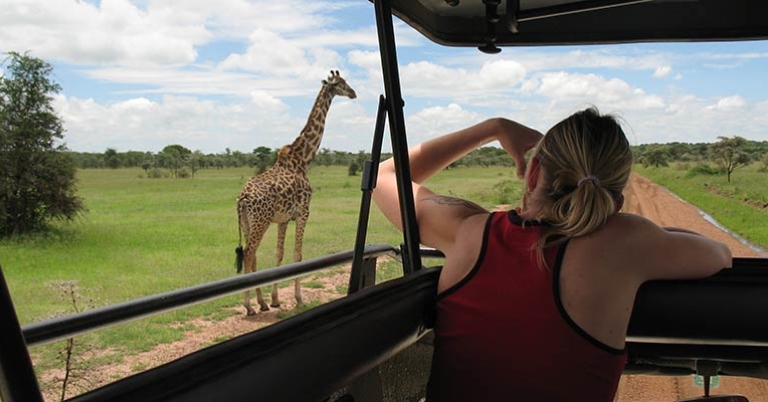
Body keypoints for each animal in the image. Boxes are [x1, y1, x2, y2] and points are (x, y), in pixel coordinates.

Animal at [235, 70, 357, 316]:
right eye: (339, 84)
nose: (353, 93)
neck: (303, 159)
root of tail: (242, 198)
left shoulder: (283, 219)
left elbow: (279, 254)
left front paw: (275, 300)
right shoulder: (303, 213)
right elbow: (298, 255)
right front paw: (299, 299)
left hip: (248, 223)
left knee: (252, 255)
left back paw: (261, 303)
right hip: (260, 222)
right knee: (250, 254)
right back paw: (250, 306)